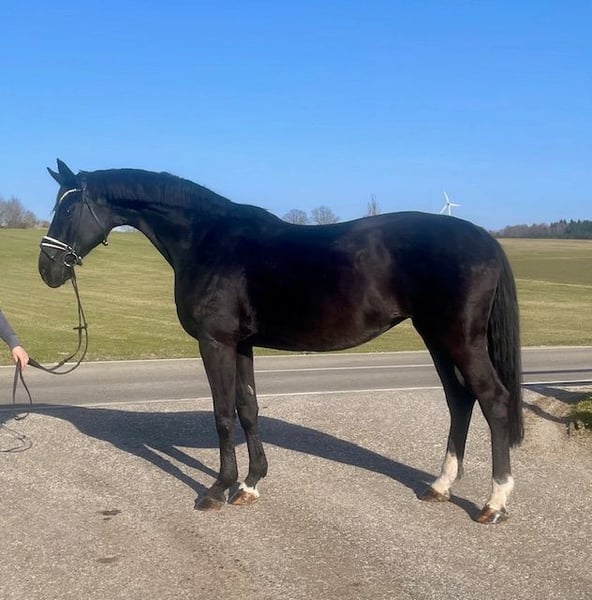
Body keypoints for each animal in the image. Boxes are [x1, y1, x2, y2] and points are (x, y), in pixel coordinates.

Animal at [39, 159, 523, 524]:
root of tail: (484, 239)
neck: (206, 239)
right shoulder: (241, 344)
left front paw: (217, 489)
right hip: (436, 337)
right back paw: (440, 486)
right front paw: (251, 484)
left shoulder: (215, 343)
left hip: (458, 339)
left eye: (68, 209)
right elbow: (247, 409)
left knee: (493, 400)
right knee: (460, 400)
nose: (47, 270)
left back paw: (494, 502)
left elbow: (222, 415)